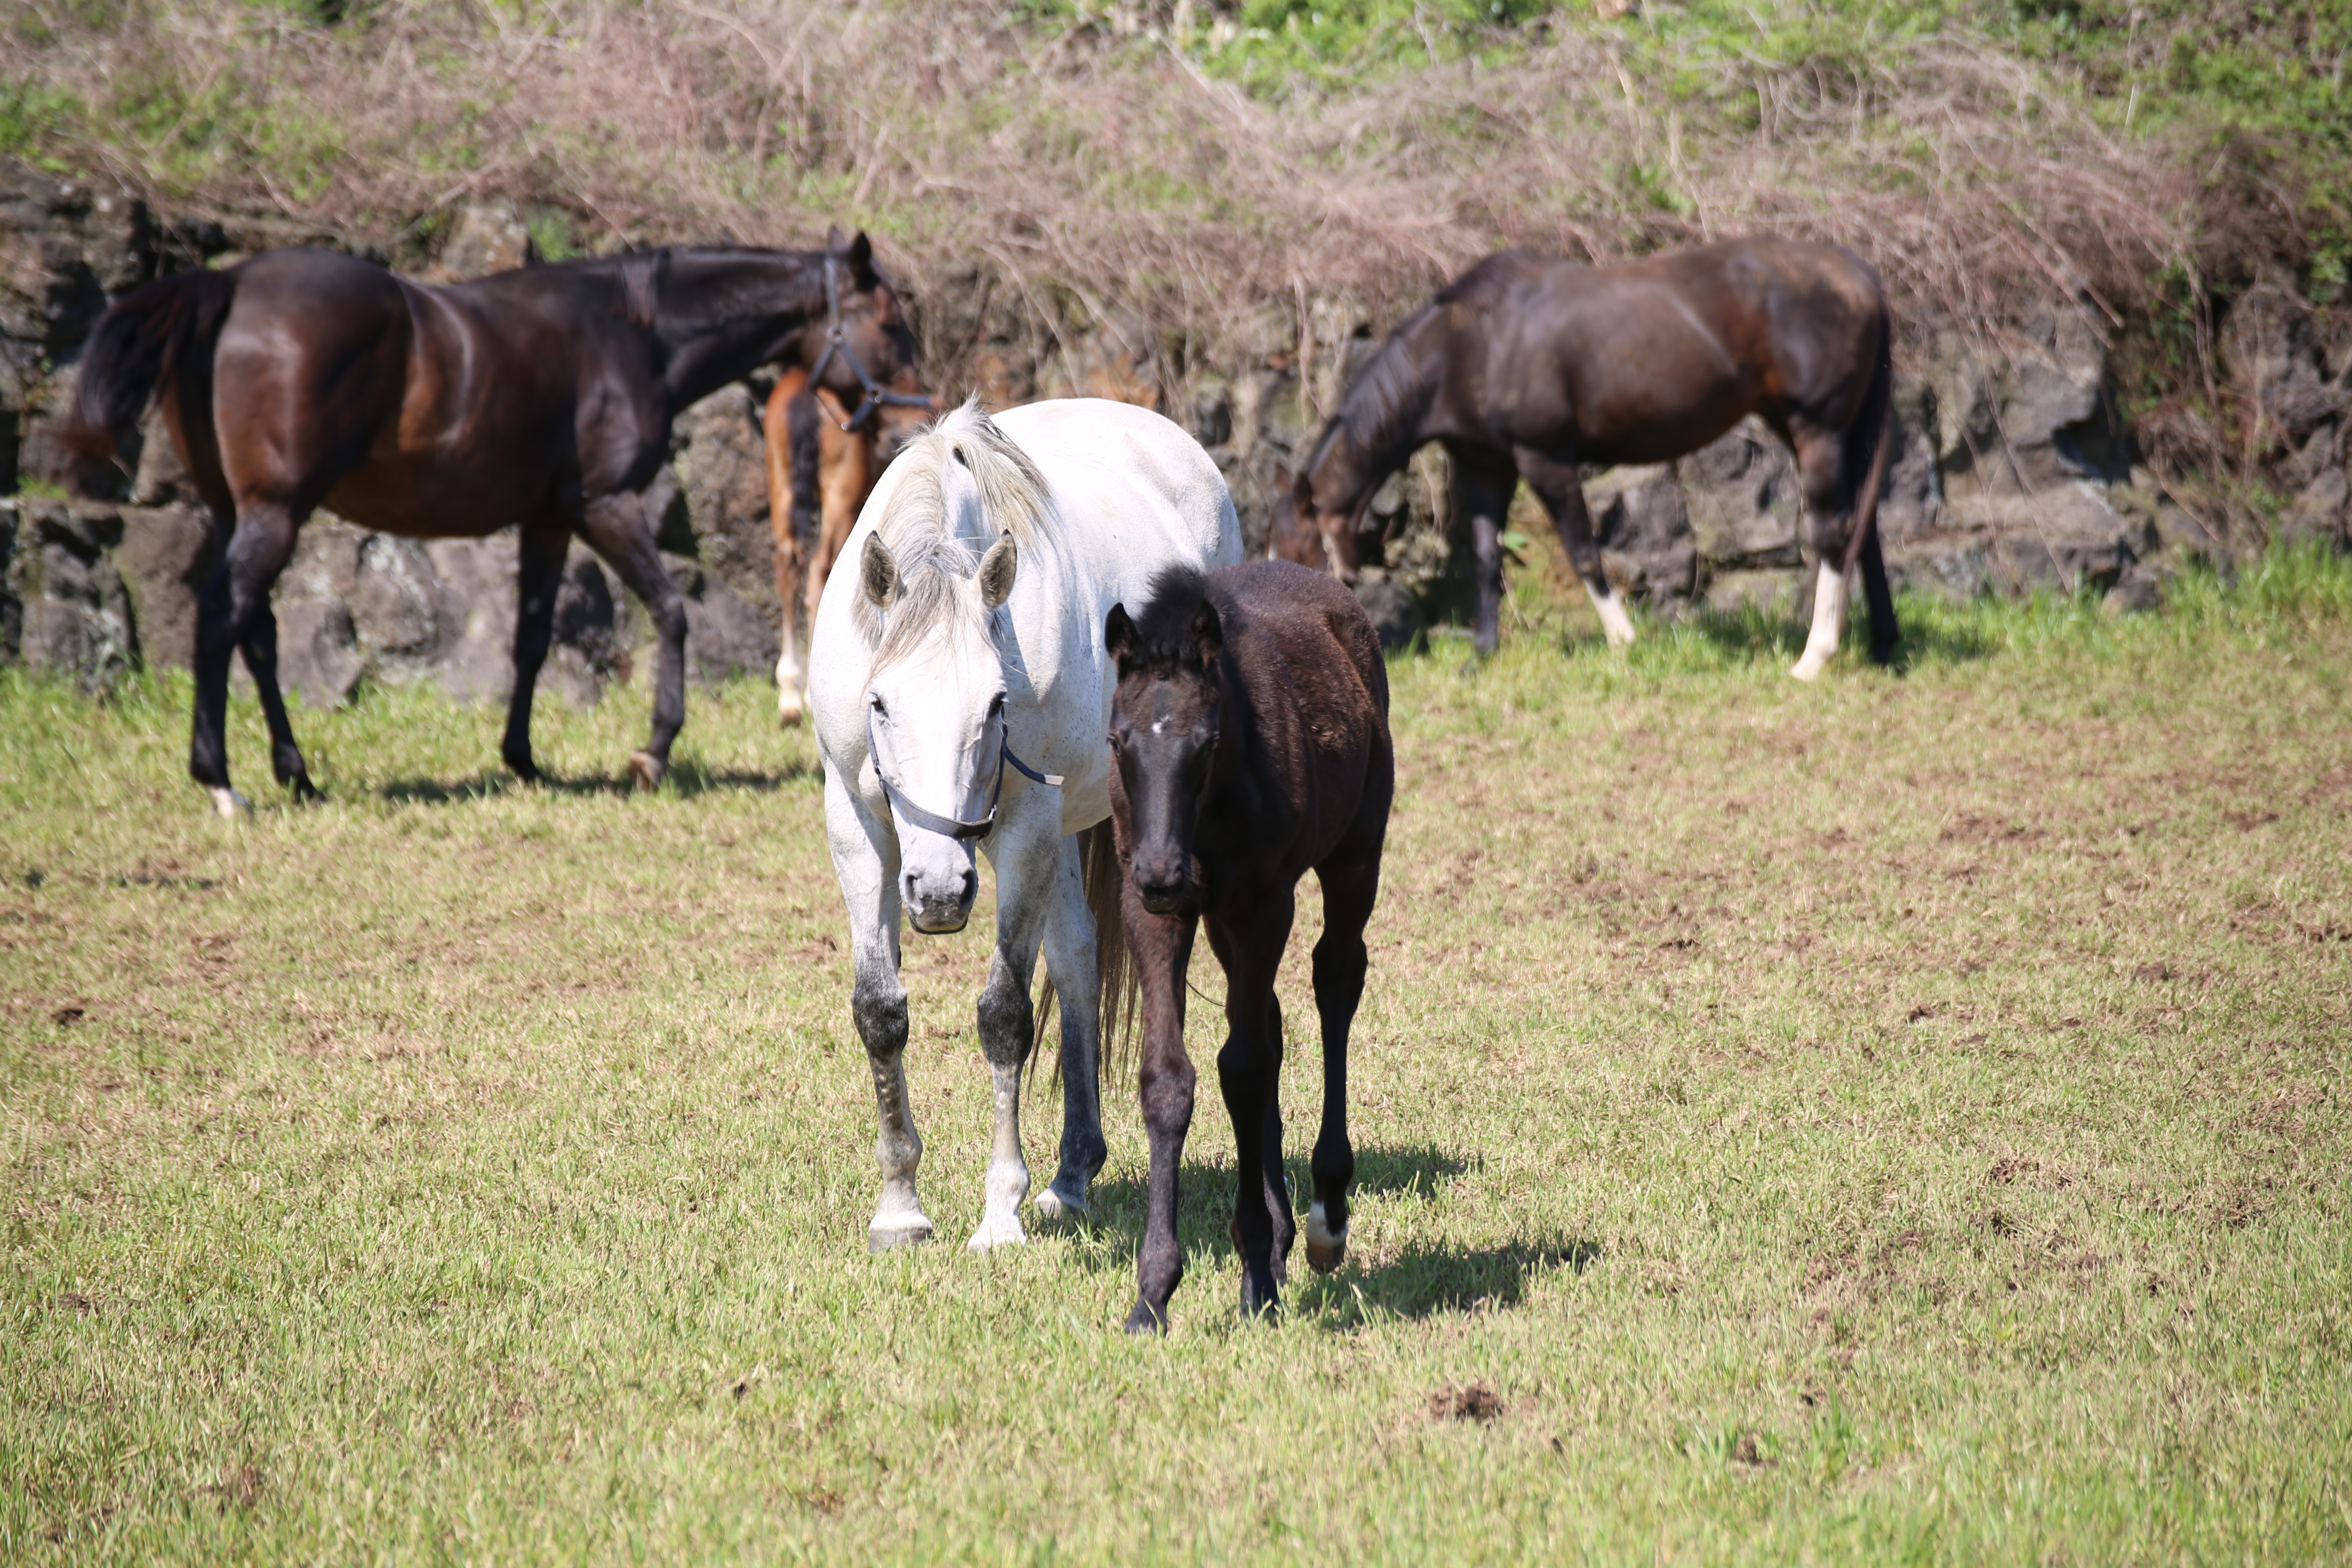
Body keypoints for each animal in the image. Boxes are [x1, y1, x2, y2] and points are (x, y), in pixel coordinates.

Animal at [809, 402, 1242, 1250]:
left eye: (996, 704)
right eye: (880, 703)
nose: (941, 890)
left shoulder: (1026, 829)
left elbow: (1005, 1014)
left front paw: (999, 1213)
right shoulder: (856, 823)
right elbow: (880, 1012)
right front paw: (900, 1208)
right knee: (1077, 960)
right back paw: (1072, 1177)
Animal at [1105, 557, 1392, 1335]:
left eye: (1206, 741)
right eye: (1118, 740)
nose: (1162, 873)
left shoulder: (1266, 902)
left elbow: (1242, 1068)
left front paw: (1257, 1273)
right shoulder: (1155, 913)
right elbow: (1170, 1079)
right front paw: (1154, 1293)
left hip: (1355, 855)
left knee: (1335, 982)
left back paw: (1324, 1218)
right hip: (1219, 919)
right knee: (1269, 1020)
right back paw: (1286, 1236)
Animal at [1279, 236, 1900, 677]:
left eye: (1296, 557)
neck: (1470, 346)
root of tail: (1862, 276)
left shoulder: (1544, 460)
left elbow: (1583, 551)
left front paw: (1623, 640)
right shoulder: (1484, 467)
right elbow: (1484, 559)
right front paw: (1482, 655)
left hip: (1817, 430)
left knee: (1833, 531)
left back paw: (1815, 656)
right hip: (1823, 431)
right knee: (1863, 530)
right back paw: (1882, 647)